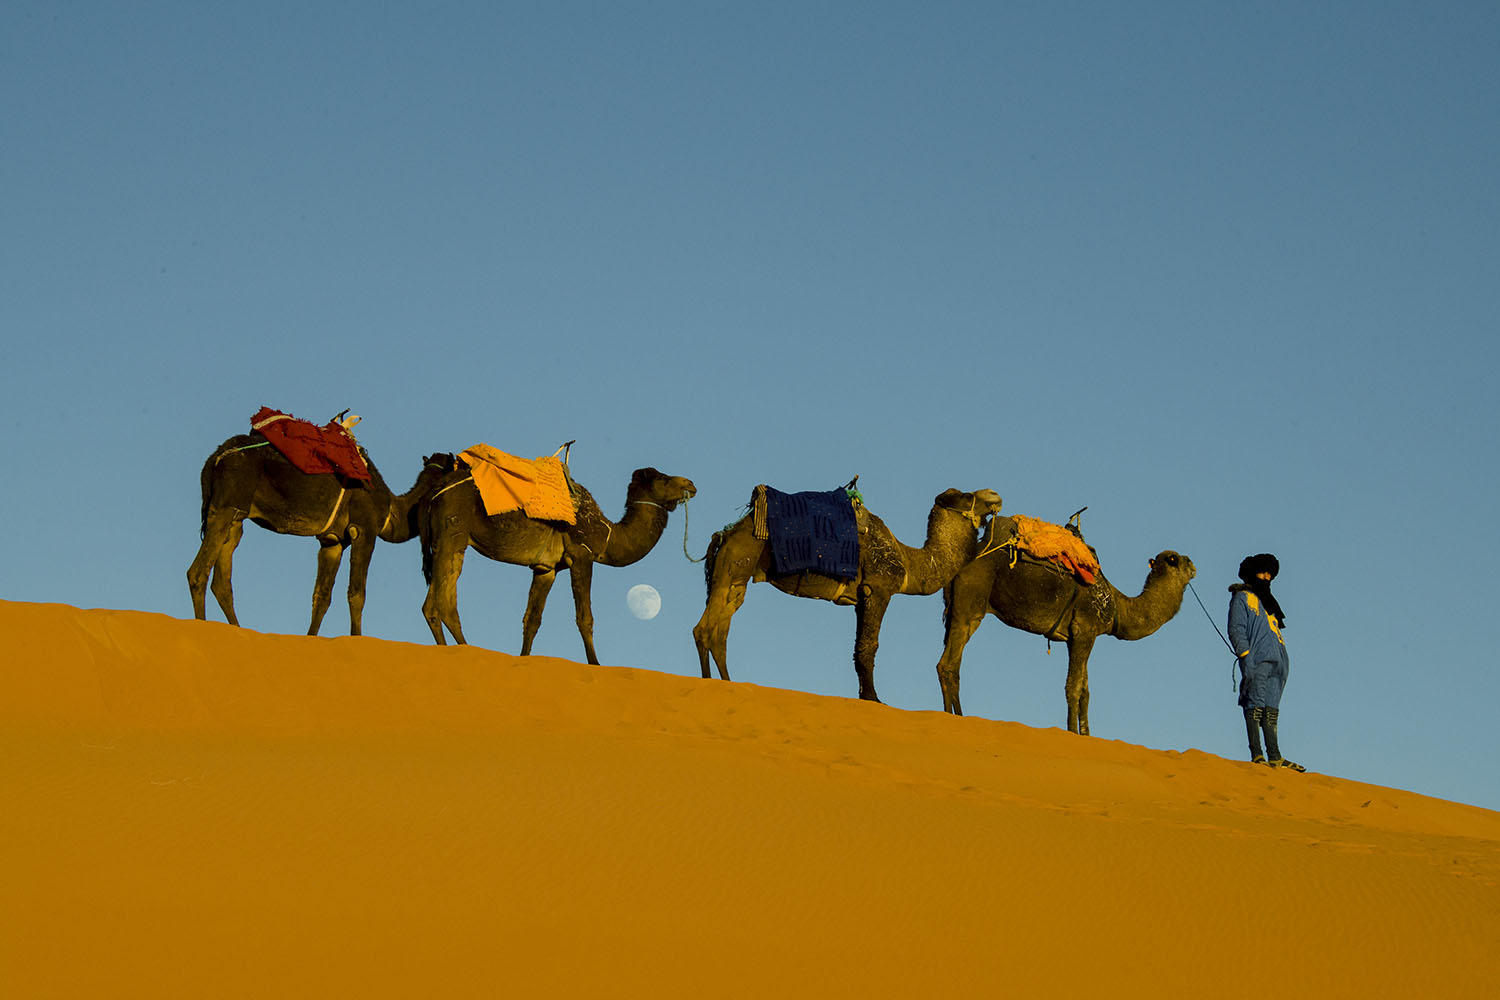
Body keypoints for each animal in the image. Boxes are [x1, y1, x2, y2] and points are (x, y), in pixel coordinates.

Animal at [187, 434, 455, 636]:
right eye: (456, 466)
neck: (391, 508)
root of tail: (214, 459)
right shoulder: (364, 530)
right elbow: (357, 593)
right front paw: (357, 639)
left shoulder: (332, 542)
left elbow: (321, 597)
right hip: (227, 504)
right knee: (198, 572)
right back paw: (202, 627)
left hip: (235, 515)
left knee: (222, 580)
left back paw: (238, 630)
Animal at [420, 465, 697, 662]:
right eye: (663, 478)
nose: (691, 484)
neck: (606, 533)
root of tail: (434, 492)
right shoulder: (582, 555)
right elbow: (585, 618)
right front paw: (596, 664)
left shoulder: (547, 569)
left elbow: (532, 619)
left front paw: (523, 659)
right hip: (454, 533)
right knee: (445, 601)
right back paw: (467, 650)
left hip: (444, 542)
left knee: (431, 604)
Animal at [693, 487, 1003, 702]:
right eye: (967, 495)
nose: (994, 495)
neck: (907, 562)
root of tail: (725, 534)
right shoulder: (878, 589)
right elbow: (869, 646)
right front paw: (874, 699)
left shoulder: (859, 599)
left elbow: (858, 649)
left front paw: (865, 696)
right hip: (736, 562)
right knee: (703, 630)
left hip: (737, 578)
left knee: (719, 631)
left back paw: (726, 682)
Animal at [935, 516, 1196, 734]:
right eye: (1174, 559)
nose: (1193, 564)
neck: (1117, 606)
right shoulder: (1084, 630)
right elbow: (1073, 687)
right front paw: (1071, 732)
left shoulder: (1080, 636)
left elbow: (1085, 692)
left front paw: (1087, 735)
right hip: (972, 601)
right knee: (948, 664)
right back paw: (956, 718)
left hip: (956, 607)